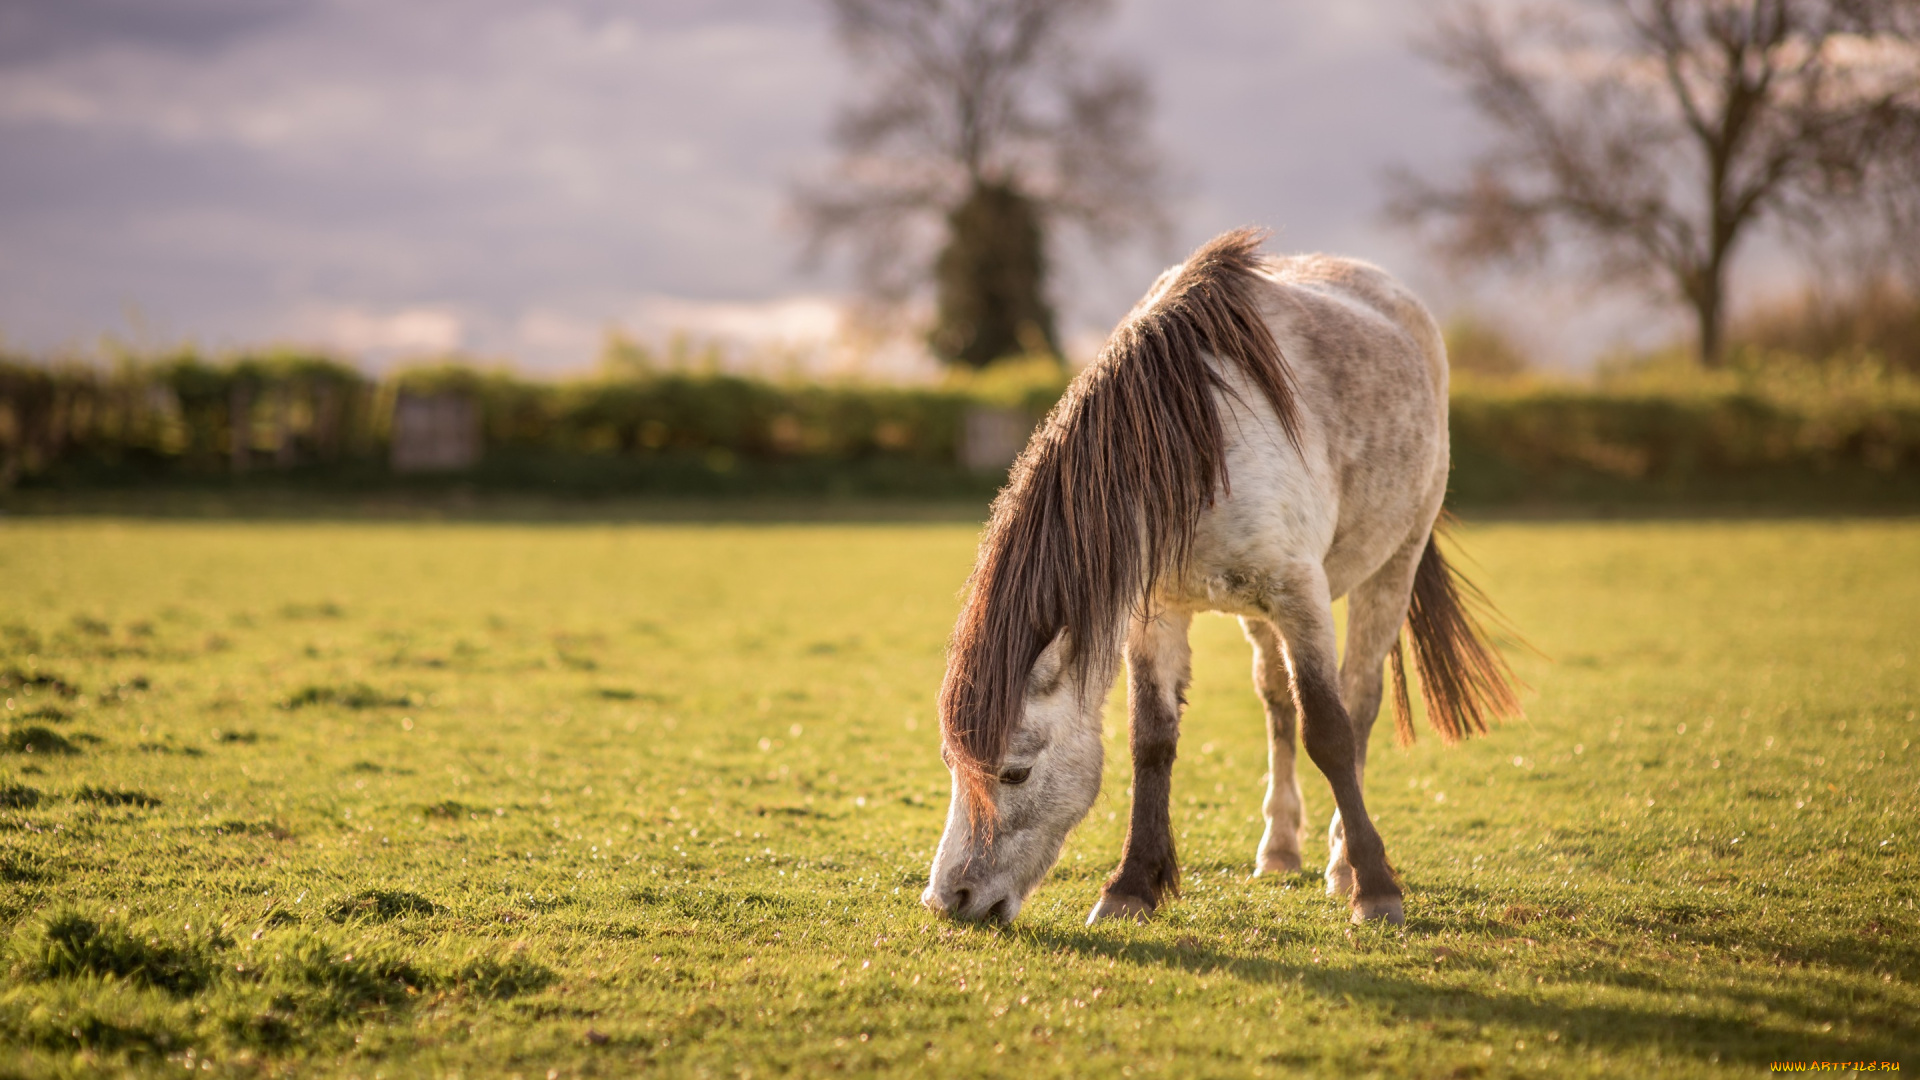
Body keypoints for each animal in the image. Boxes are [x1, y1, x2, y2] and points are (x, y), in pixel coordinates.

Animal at [921, 226, 1520, 926]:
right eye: (953, 763)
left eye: (1014, 771)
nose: (950, 899)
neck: (1195, 450)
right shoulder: (1155, 612)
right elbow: (1152, 740)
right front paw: (1131, 886)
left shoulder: (1301, 596)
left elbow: (1330, 731)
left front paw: (1376, 889)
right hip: (1256, 616)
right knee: (1277, 702)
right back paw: (1280, 848)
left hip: (1391, 567)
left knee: (1360, 700)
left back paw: (1343, 862)